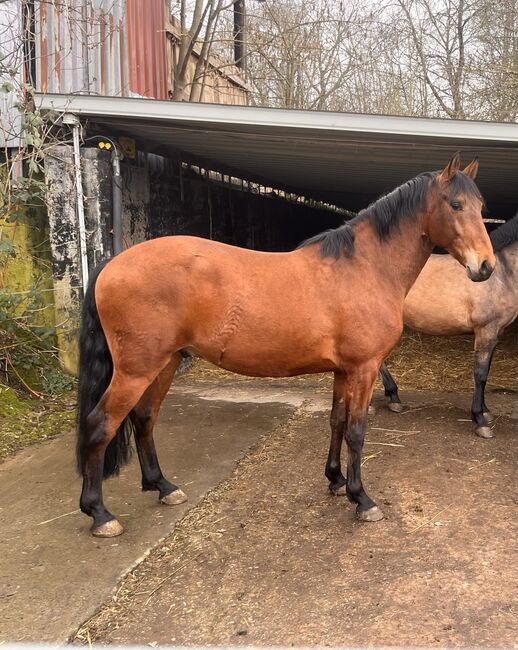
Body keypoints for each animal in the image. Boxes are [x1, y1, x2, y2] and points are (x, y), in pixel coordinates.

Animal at [76, 154, 496, 536]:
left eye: (481, 208)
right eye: (455, 205)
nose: (486, 266)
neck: (364, 268)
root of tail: (113, 263)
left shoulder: (343, 370)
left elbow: (336, 421)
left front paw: (335, 480)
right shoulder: (364, 368)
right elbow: (356, 431)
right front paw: (362, 499)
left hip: (165, 363)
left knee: (144, 418)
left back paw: (162, 486)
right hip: (136, 370)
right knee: (100, 424)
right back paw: (99, 513)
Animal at [378, 213, 518, 436]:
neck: (502, 273)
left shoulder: (497, 332)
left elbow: (486, 371)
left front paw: (485, 411)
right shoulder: (486, 330)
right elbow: (480, 374)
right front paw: (479, 420)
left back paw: (393, 398)